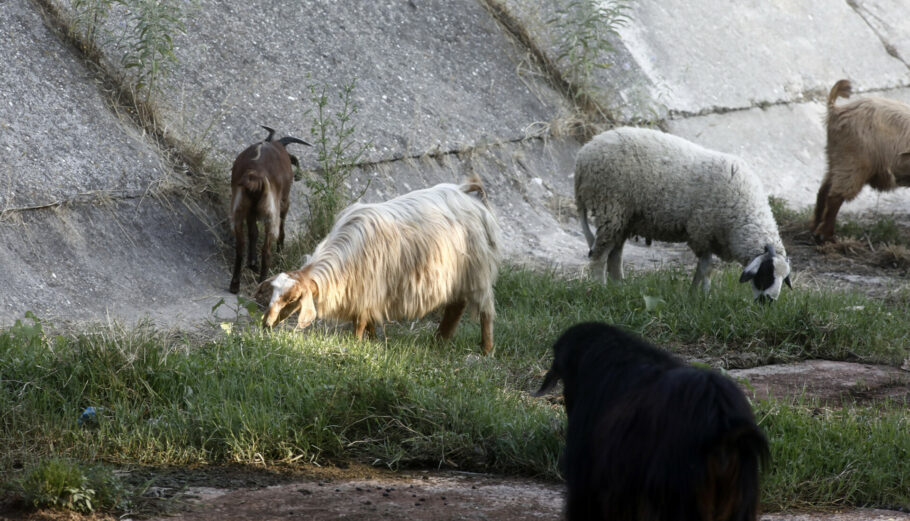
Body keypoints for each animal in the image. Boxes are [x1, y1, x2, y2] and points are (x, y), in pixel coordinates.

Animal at [230, 126, 312, 292]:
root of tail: (254, 176)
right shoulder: (284, 203)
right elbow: (281, 231)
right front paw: (280, 254)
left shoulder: (251, 212)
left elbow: (253, 233)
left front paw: (252, 263)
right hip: (271, 212)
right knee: (266, 249)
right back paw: (263, 282)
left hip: (239, 209)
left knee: (241, 245)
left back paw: (235, 284)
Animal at [264, 176, 502, 354]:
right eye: (272, 293)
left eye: (292, 299)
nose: (266, 324)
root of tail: (464, 192)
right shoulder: (366, 293)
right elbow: (368, 319)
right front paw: (374, 341)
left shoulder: (368, 288)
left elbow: (360, 321)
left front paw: (357, 344)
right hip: (459, 274)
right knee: (457, 305)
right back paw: (440, 340)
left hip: (478, 270)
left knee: (485, 311)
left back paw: (486, 349)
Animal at [580, 125, 796, 300]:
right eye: (766, 273)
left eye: (783, 278)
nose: (767, 303)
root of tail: (586, 151)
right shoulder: (701, 232)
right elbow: (706, 268)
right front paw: (703, 295)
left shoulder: (709, 237)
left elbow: (702, 268)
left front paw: (695, 293)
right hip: (611, 207)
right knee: (599, 256)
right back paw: (599, 287)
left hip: (623, 218)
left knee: (615, 255)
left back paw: (618, 288)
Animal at [816, 80, 910, 243]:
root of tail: (836, 110)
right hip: (854, 160)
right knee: (836, 195)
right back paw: (826, 235)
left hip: (836, 158)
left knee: (824, 189)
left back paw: (814, 227)